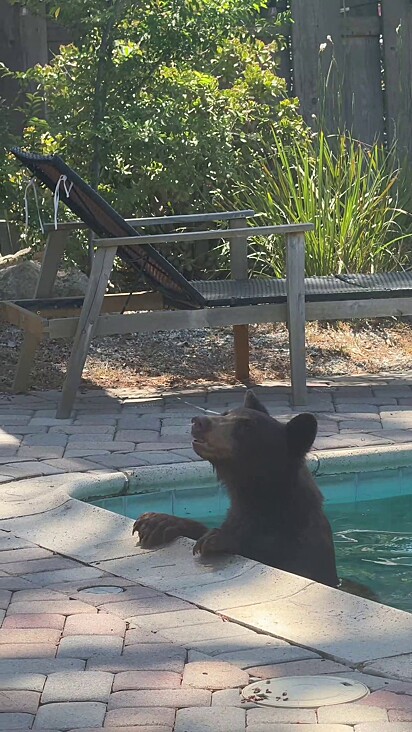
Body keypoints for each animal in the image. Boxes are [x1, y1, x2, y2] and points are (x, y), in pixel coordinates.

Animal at [131, 388, 338, 588]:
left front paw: (218, 538)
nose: (199, 421)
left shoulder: (302, 548)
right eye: (225, 413)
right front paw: (157, 521)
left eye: (246, 426)